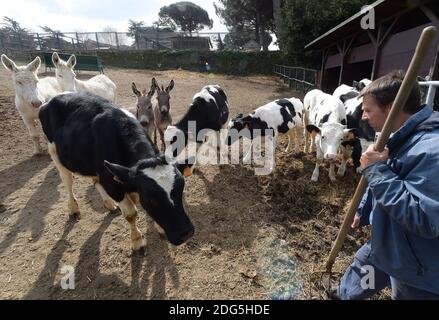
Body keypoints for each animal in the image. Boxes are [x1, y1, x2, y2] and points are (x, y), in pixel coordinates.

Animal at [39, 91, 194, 251]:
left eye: (181, 189)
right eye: (150, 198)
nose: (186, 233)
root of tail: (53, 98)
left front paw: (159, 227)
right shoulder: (112, 184)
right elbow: (131, 213)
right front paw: (137, 241)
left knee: (95, 181)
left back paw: (109, 204)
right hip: (55, 153)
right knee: (67, 180)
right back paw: (74, 208)